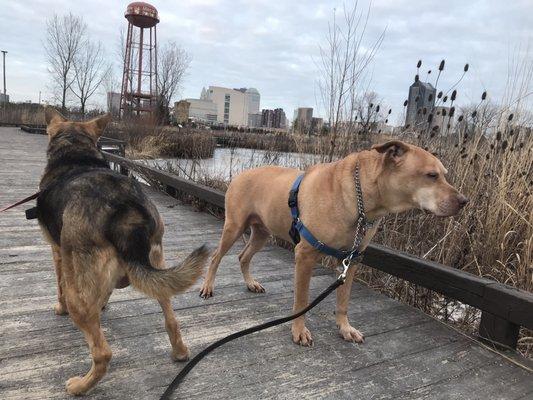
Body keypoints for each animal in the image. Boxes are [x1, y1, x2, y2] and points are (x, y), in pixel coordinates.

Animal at [37, 108, 208, 396]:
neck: (75, 154)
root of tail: (124, 208)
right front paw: (103, 304)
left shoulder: (57, 252)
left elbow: (58, 285)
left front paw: (59, 308)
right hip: (157, 264)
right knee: (171, 318)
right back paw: (180, 352)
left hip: (77, 294)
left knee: (102, 353)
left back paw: (80, 386)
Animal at [198, 142, 466, 346]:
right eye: (431, 175)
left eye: (444, 174)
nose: (464, 201)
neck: (362, 200)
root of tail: (241, 174)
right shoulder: (305, 255)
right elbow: (302, 300)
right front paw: (299, 331)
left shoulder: (352, 260)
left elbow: (343, 301)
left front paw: (345, 328)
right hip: (233, 227)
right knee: (216, 256)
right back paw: (208, 287)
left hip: (262, 233)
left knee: (243, 256)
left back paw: (251, 283)